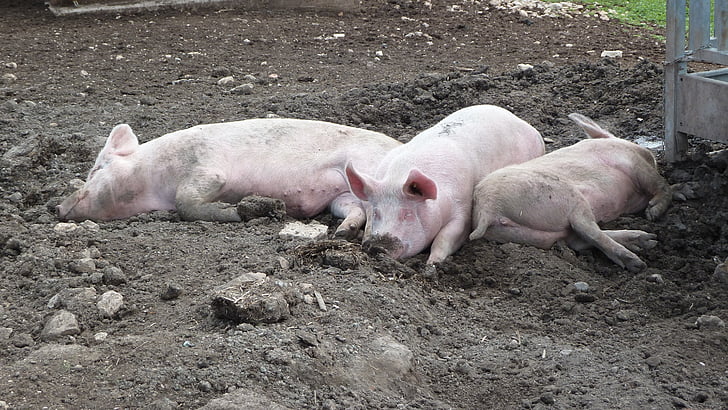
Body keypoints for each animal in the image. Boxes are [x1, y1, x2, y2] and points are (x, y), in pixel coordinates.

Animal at [57, 117, 400, 237]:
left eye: (96, 169)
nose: (55, 207)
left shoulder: (206, 168)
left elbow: (187, 201)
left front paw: (235, 212)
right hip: (341, 198)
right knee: (356, 211)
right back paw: (342, 233)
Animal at [344, 104, 544, 264]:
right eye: (377, 212)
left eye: (407, 215)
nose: (378, 247)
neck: (397, 177)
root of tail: (527, 125)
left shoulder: (462, 209)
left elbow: (445, 237)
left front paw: (432, 264)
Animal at [470, 113, 672, 272]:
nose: (650, 155)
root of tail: (487, 208)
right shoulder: (633, 163)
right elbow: (661, 184)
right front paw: (653, 213)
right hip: (567, 197)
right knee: (588, 230)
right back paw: (638, 261)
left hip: (530, 233)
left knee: (578, 239)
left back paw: (647, 241)